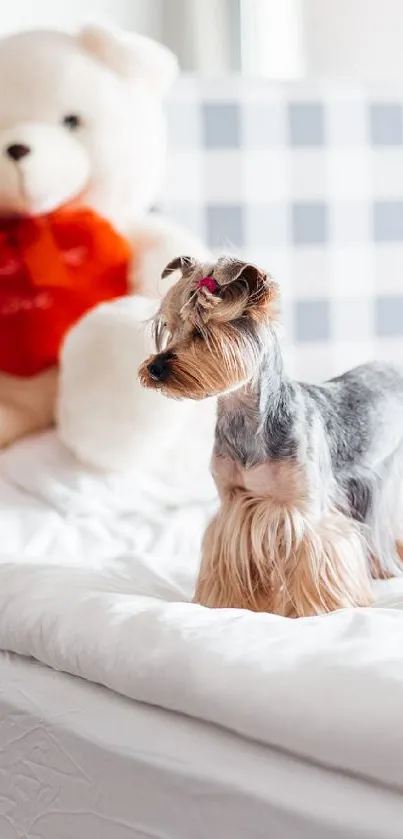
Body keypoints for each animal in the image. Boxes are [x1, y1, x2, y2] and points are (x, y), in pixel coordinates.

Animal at [140, 256, 403, 616]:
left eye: (202, 332)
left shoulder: (305, 510)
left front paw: (318, 610)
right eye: (168, 327)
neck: (243, 416)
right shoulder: (235, 503)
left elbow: (316, 556)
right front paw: (230, 603)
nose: (155, 368)